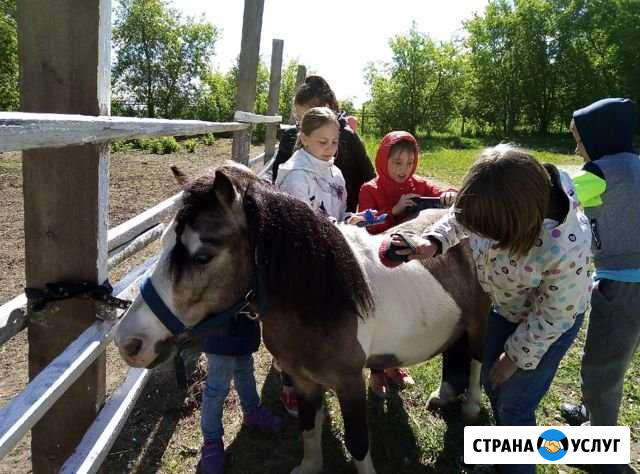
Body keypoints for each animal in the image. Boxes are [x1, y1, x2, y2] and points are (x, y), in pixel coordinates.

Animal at [114, 163, 490, 474]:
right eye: (164, 242)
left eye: (202, 256)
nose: (127, 342)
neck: (327, 298)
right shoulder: (303, 379)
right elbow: (309, 427)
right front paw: (310, 466)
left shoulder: (349, 383)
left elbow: (357, 442)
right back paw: (443, 395)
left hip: (478, 322)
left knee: (475, 359)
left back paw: (470, 407)